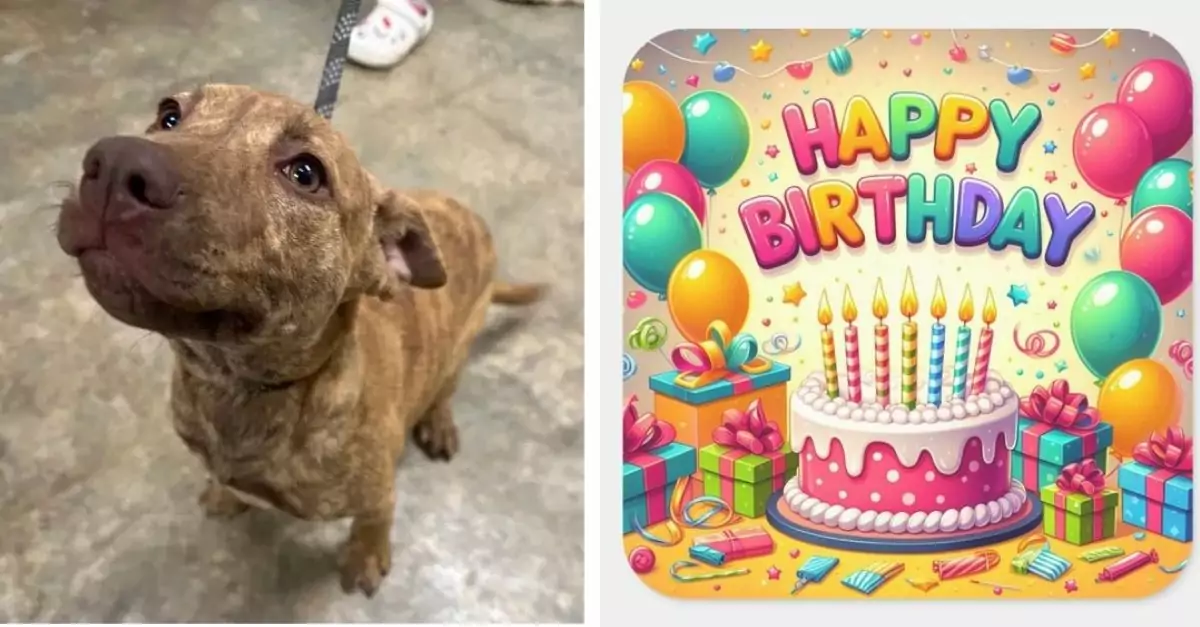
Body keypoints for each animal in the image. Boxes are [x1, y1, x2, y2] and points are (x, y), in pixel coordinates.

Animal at [56, 84, 544, 595]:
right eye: (169, 114)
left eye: (306, 173)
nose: (114, 165)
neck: (237, 388)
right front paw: (224, 495)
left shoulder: (378, 492)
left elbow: (375, 521)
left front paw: (366, 556)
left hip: (458, 348)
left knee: (445, 389)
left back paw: (439, 422)